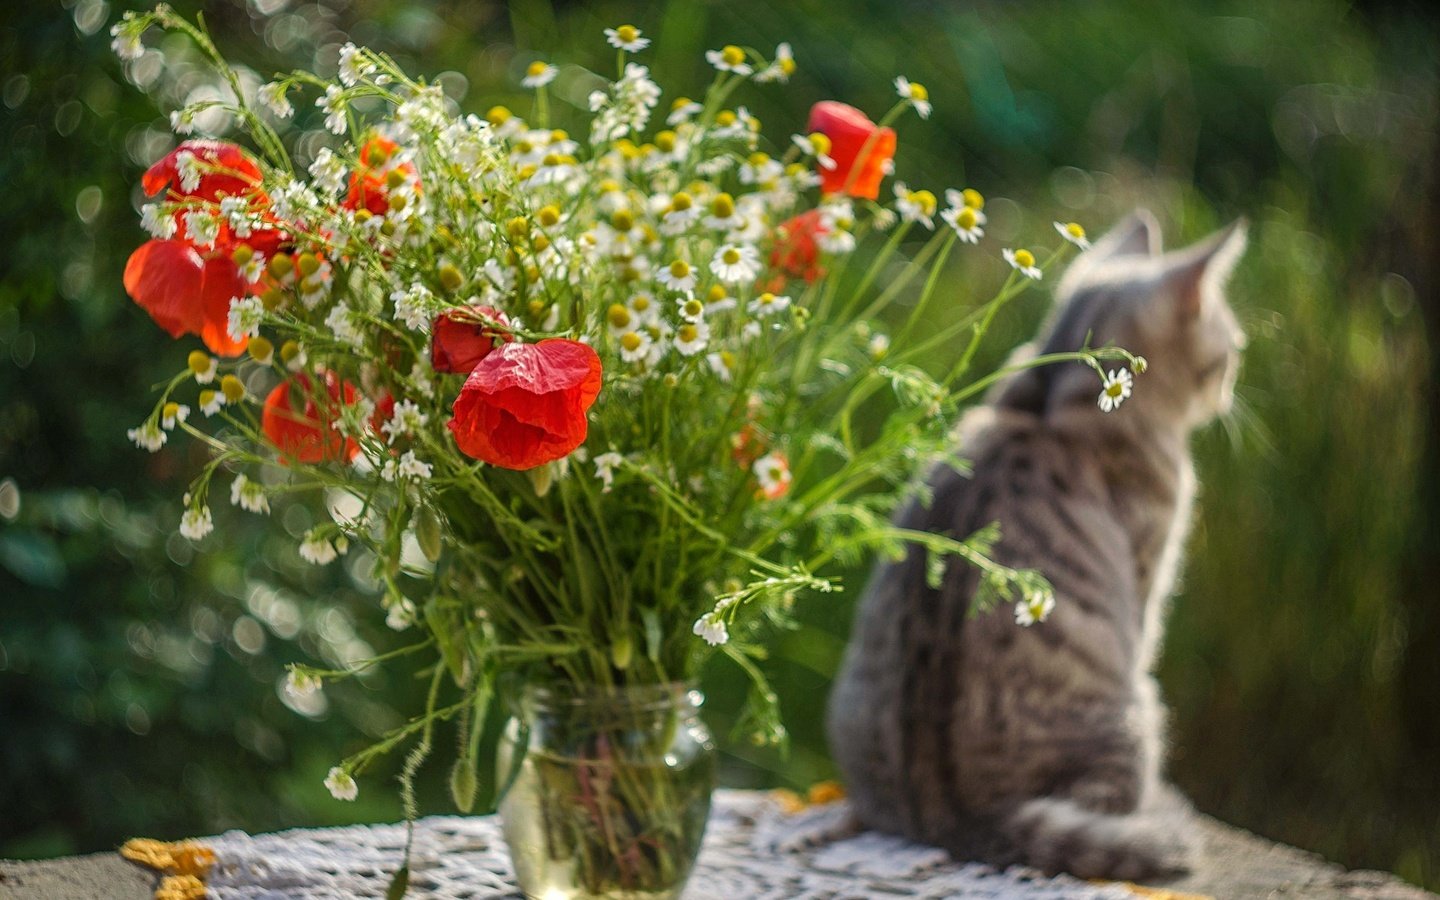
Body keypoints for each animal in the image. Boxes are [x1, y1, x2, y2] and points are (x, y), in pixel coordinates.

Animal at [829, 208, 1255, 875]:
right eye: (1232, 349)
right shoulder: (1150, 582)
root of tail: (961, 821)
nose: (1232, 388)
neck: (1053, 400)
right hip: (1139, 713)